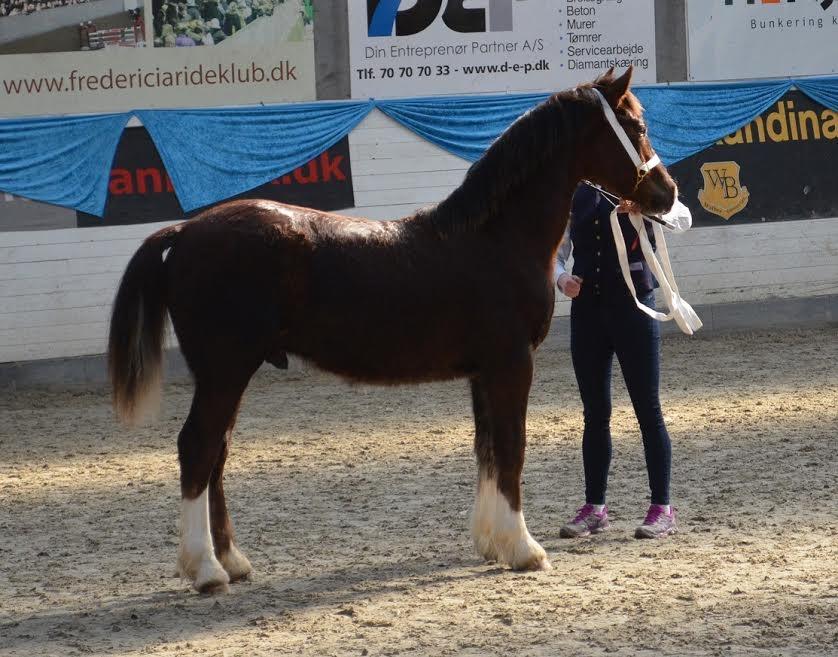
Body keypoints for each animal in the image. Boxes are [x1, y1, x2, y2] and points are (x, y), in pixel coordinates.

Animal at [108, 68, 680, 596]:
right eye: (635, 125)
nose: (666, 193)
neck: (495, 238)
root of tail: (185, 231)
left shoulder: (483, 373)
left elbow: (488, 450)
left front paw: (490, 542)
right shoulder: (511, 365)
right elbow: (512, 449)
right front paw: (523, 550)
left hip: (228, 375)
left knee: (217, 453)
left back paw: (233, 561)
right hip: (225, 371)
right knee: (198, 448)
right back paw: (206, 570)